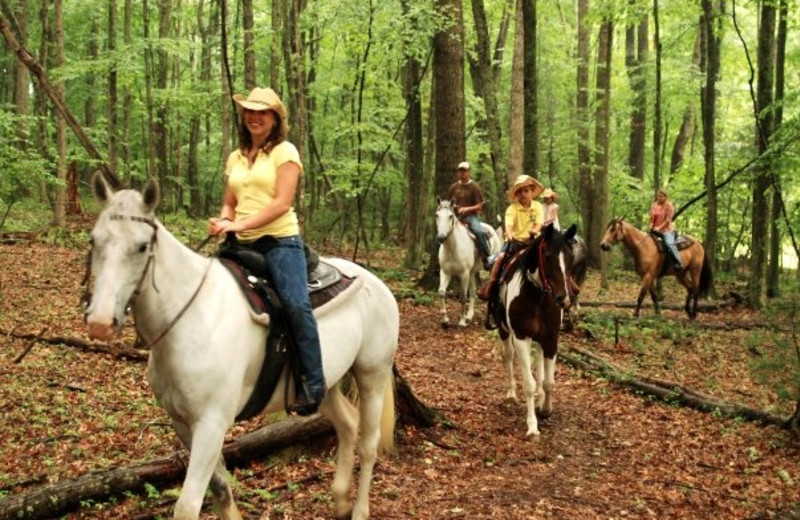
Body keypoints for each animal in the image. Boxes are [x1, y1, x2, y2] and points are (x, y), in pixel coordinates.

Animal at [84, 172, 396, 520]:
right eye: (94, 241)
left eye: (142, 247)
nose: (99, 322)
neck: (191, 317)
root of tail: (377, 283)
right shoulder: (182, 423)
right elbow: (221, 489)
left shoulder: (212, 424)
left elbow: (188, 506)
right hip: (326, 384)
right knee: (347, 425)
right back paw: (340, 501)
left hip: (372, 374)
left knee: (369, 444)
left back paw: (359, 510)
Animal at [434, 200, 496, 330]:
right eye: (437, 215)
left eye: (450, 216)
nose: (441, 237)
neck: (452, 248)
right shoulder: (445, 272)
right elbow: (441, 292)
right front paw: (445, 320)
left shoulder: (464, 274)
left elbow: (463, 296)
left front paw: (461, 322)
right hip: (472, 272)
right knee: (473, 291)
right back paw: (469, 316)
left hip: (490, 268)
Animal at [494, 223, 576, 438]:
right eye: (547, 256)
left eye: (570, 257)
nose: (564, 298)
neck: (537, 297)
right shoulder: (521, 338)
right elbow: (529, 384)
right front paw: (532, 426)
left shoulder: (551, 339)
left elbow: (549, 382)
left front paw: (545, 409)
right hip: (505, 331)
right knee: (508, 356)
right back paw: (511, 393)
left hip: (540, 340)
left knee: (539, 363)